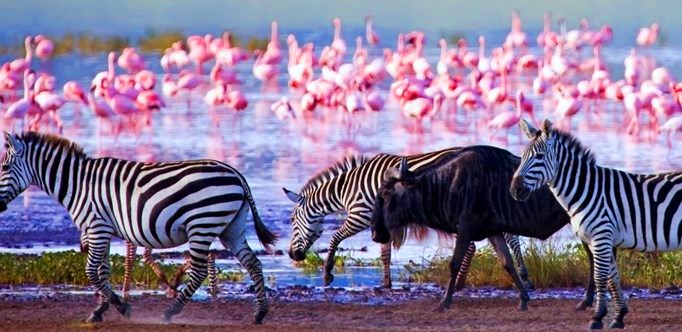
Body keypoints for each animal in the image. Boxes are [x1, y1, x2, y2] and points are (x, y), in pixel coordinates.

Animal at [0, 132, 276, 324]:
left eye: (3, 167)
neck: (78, 184)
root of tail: (236, 174)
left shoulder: (97, 228)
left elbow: (91, 271)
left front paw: (121, 307)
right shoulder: (103, 230)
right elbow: (103, 271)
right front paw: (100, 310)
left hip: (202, 225)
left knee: (199, 271)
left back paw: (170, 312)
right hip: (231, 228)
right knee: (253, 263)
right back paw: (260, 314)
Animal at [280, 148, 532, 290]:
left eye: (292, 220)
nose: (292, 255)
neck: (346, 189)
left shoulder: (360, 216)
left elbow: (334, 239)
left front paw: (327, 273)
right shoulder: (382, 221)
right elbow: (385, 253)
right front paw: (386, 283)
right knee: (508, 238)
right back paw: (523, 276)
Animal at [508, 117, 680, 330]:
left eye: (539, 157)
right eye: (522, 156)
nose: (515, 190)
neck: (586, 190)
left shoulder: (601, 236)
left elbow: (600, 278)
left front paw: (597, 318)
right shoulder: (599, 239)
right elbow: (613, 278)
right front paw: (618, 317)